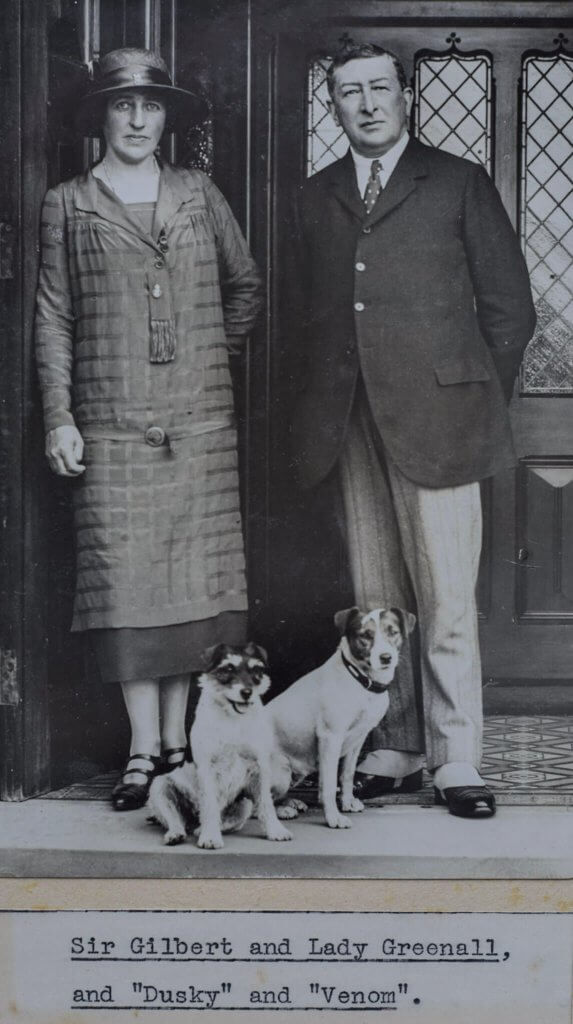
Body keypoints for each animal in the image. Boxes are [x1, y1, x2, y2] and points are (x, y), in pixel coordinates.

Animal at [268, 606, 415, 831]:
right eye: (365, 635)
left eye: (393, 632)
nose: (386, 657)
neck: (359, 680)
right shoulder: (331, 737)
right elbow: (329, 784)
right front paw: (333, 818)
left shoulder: (358, 739)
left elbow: (347, 775)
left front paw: (347, 803)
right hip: (281, 770)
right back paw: (282, 810)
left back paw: (290, 802)